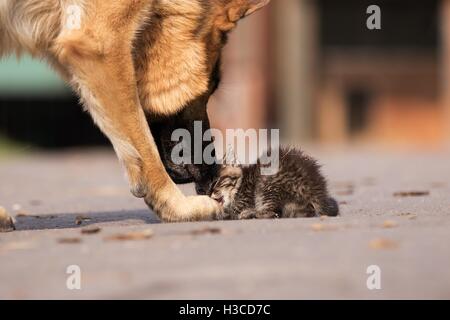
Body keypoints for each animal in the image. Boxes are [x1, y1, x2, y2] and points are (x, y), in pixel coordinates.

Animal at [209, 148, 340, 220]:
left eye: (216, 181)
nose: (210, 193)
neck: (240, 185)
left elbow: (230, 212)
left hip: (267, 183)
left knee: (272, 212)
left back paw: (249, 213)